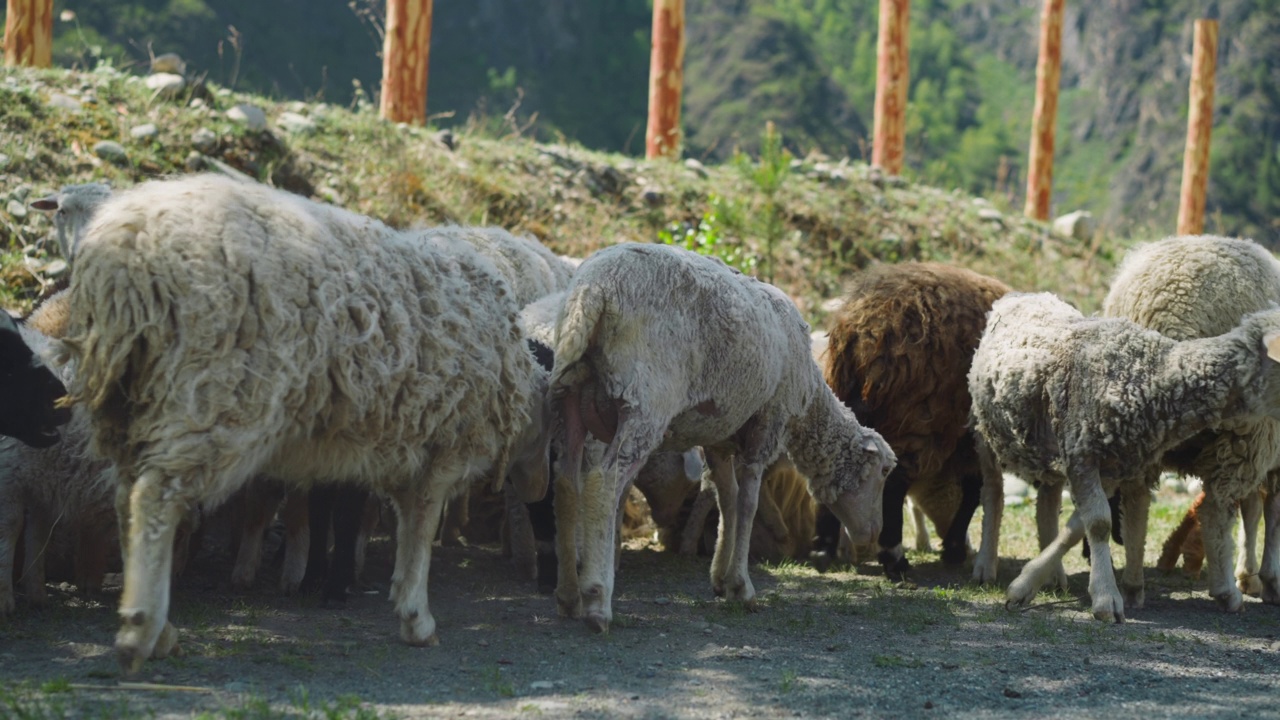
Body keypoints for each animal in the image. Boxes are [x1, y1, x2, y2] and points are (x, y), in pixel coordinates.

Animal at [62, 170, 542, 671]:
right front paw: (416, 616)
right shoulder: (443, 449)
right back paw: (143, 628)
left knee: (125, 499)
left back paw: (160, 627)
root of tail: (124, 244)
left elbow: (407, 524)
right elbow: (420, 530)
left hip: (128, 404)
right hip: (207, 393)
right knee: (155, 498)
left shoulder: (409, 449)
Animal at [552, 240, 901, 627]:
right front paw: (741, 586)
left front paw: (720, 578)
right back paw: (597, 600)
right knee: (604, 480)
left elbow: (727, 499)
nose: (872, 537)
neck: (809, 395)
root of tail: (594, 291)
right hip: (644, 400)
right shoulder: (769, 421)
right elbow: (748, 503)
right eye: (885, 471)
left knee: (566, 482)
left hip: (570, 394)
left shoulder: (718, 436)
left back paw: (568, 596)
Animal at [819, 260, 1008, 579]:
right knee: (895, 483)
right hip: (916, 419)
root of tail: (865, 329)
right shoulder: (969, 443)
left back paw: (823, 547)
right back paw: (894, 558)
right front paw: (954, 548)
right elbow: (973, 492)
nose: (968, 549)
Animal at [967, 288, 1280, 620]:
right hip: (984, 432)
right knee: (993, 494)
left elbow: (1079, 526)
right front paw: (1107, 599)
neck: (1147, 374)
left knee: (1047, 503)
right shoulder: (1082, 455)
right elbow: (1099, 523)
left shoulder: (1118, 467)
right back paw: (985, 566)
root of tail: (1021, 295)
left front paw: (1025, 583)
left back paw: (1054, 576)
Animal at [1095, 234, 1280, 604]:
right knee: (1216, 508)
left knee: (1136, 502)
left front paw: (1252, 576)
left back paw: (1133, 587)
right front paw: (1267, 580)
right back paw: (1226, 594)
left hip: (1138, 431)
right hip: (1244, 434)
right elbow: (1270, 513)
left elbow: (1257, 509)